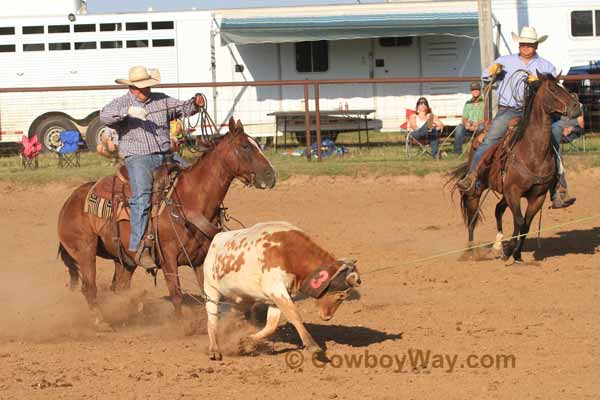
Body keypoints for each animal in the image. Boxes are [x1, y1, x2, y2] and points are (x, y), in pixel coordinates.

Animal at [56, 116, 276, 328]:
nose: (271, 176)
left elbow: (208, 295)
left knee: (119, 288)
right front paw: (180, 325)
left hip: (124, 259)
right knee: (89, 288)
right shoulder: (168, 257)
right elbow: (176, 294)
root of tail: (69, 202)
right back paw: (101, 322)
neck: (190, 199)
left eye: (257, 144)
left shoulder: (200, 259)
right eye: (245, 146)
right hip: (85, 251)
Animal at [450, 72, 580, 262]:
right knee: (473, 218)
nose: (577, 106)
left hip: (504, 193)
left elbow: (525, 225)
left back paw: (497, 246)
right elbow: (519, 221)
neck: (532, 152)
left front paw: (516, 254)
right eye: (553, 88)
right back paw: (471, 252)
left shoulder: (537, 196)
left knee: (498, 210)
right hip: (476, 190)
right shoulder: (513, 192)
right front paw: (510, 249)